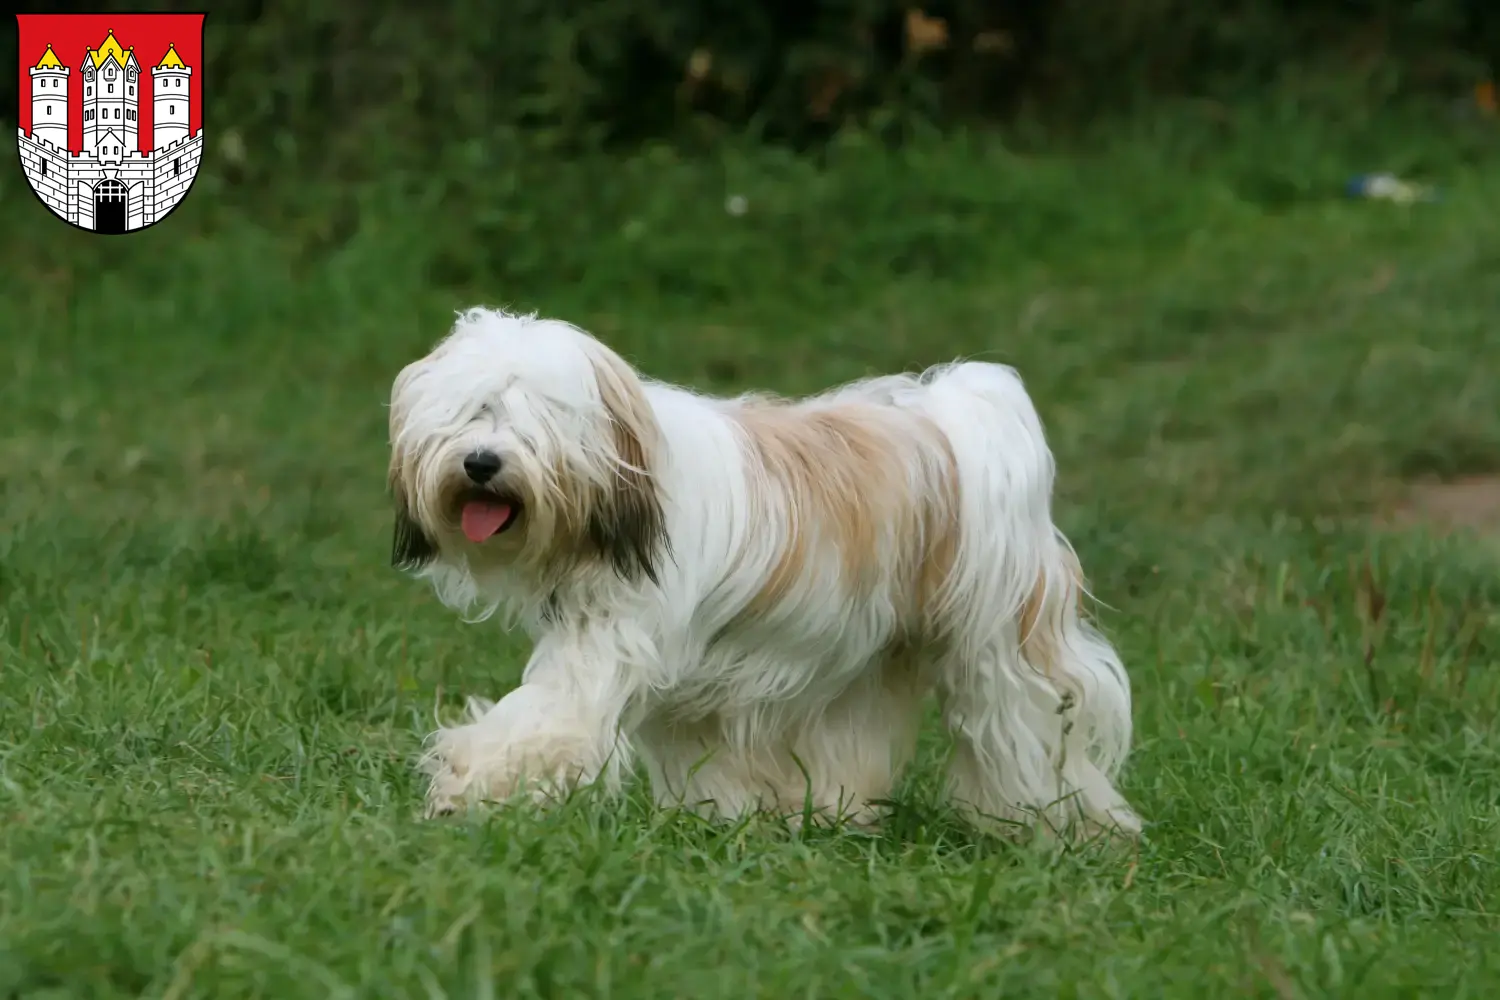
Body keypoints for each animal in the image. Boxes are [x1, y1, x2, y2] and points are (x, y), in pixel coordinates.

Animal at [387, 305, 1134, 839]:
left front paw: (462, 789)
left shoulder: (606, 647)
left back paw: (1064, 826)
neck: (631, 491)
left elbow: (544, 721)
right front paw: (728, 819)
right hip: (862, 651)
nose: (480, 462)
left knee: (1030, 728)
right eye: (470, 412)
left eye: (533, 420)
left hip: (999, 646)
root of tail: (952, 421)